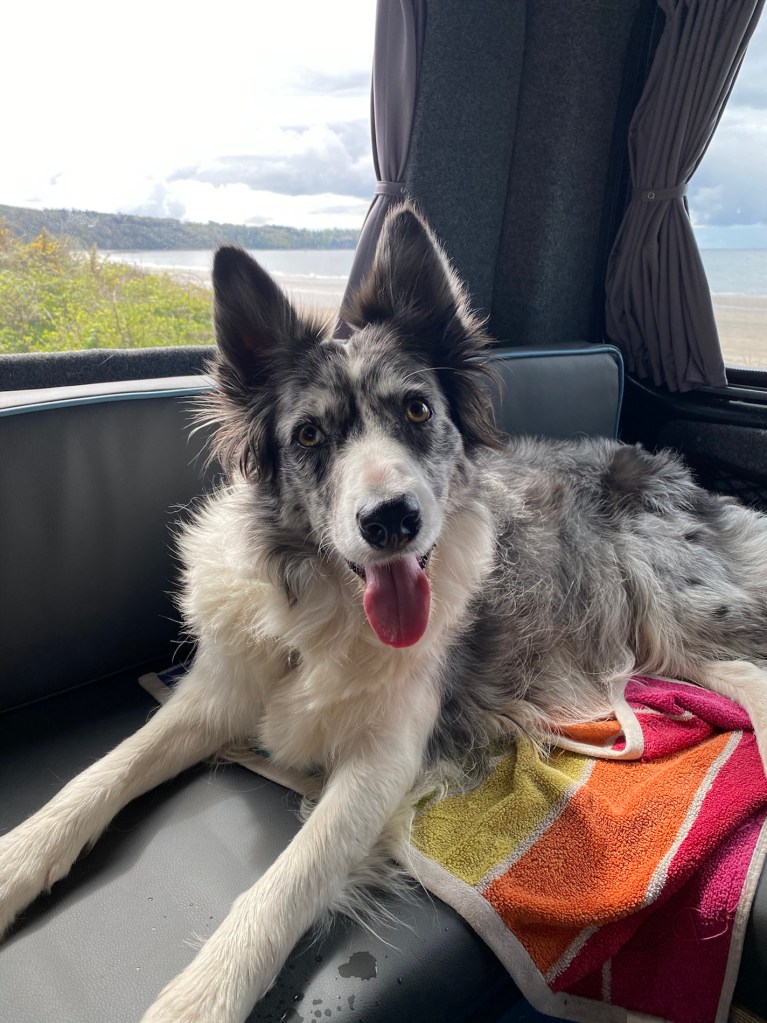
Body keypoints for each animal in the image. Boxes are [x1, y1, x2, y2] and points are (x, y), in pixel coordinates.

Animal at [1, 203, 766, 1023]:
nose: (391, 519)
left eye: (418, 409)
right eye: (308, 434)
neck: (321, 607)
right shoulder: (216, 695)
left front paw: (201, 997)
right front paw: (17, 859)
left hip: (672, 604)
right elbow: (103, 771)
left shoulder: (384, 758)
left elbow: (287, 882)